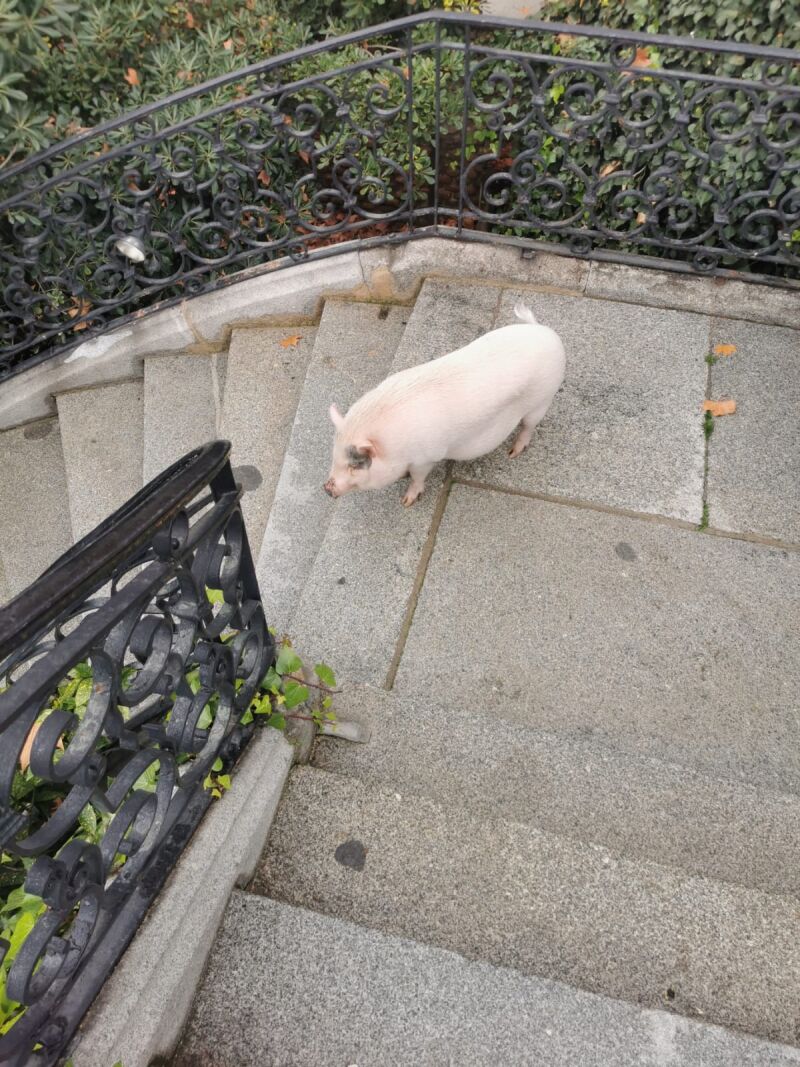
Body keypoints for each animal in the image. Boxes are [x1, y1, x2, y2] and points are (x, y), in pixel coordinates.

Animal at [322, 300, 567, 507]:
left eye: (355, 465)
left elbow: (418, 477)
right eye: (334, 455)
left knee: (528, 426)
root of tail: (548, 333)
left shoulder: (426, 458)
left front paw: (407, 502)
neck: (393, 447)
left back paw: (512, 453)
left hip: (542, 399)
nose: (326, 488)